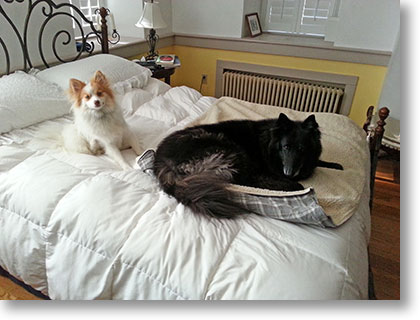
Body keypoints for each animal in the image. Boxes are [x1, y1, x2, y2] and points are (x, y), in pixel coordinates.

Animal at [153, 113, 342, 220]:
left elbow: (320, 161)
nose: (289, 173)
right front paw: (295, 185)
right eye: (285, 147)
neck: (269, 142)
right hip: (232, 151)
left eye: (302, 149)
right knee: (247, 181)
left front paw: (335, 165)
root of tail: (161, 161)